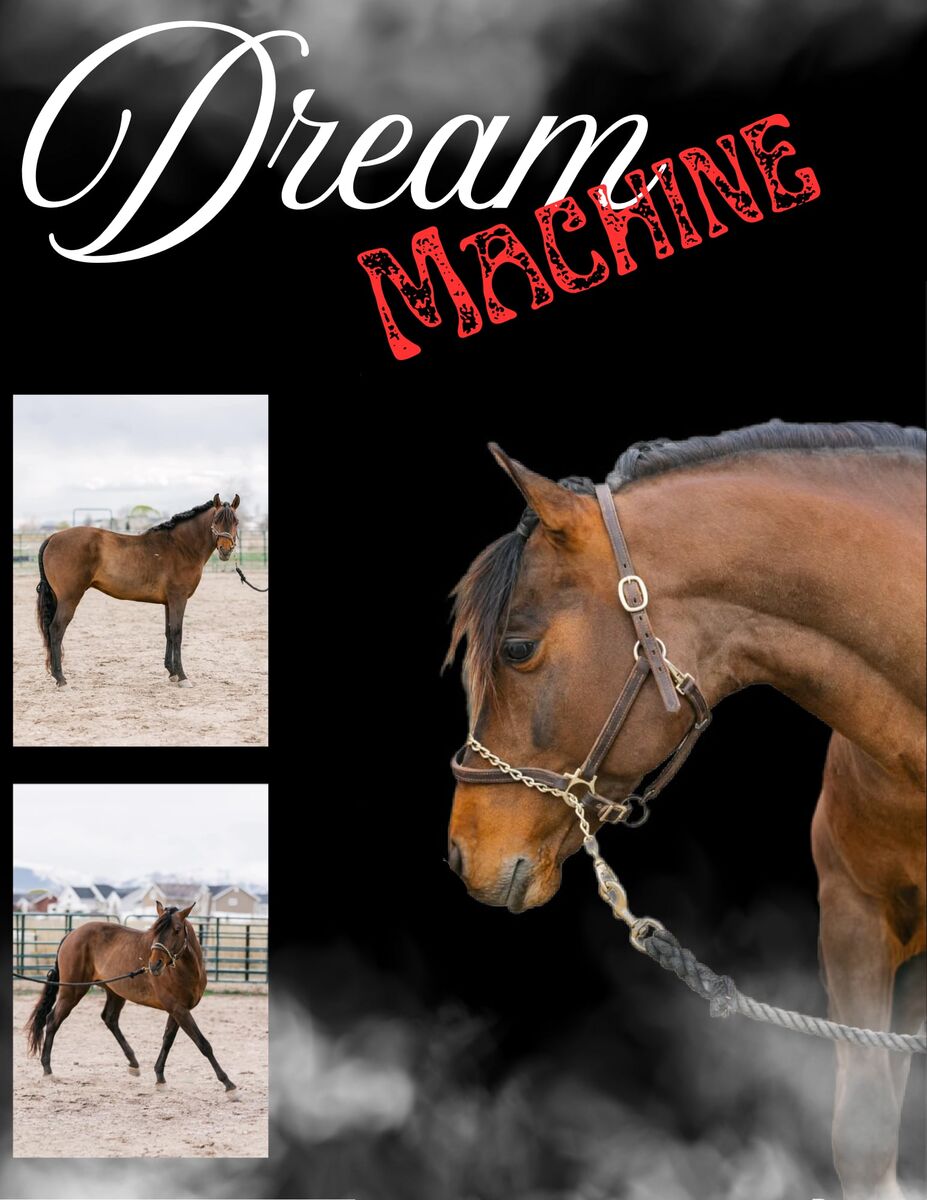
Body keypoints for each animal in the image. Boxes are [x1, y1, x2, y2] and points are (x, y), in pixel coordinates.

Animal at [25, 901, 236, 1092]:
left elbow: (167, 1040)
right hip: (71, 992)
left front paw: (160, 1077)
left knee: (109, 1019)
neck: (187, 970)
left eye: (177, 930)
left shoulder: (178, 1010)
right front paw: (228, 1084)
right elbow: (203, 1044)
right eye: (155, 929)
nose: (155, 965)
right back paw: (47, 1070)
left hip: (115, 992)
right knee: (52, 1021)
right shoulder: (178, 1009)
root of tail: (71, 934)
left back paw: (133, 1063)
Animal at [35, 493, 240, 688]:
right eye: (216, 520)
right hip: (69, 598)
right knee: (56, 629)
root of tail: (53, 537)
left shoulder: (169, 602)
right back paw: (61, 679)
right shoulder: (179, 599)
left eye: (236, 521)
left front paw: (172, 673)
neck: (181, 546)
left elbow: (168, 632)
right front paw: (182, 677)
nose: (225, 550)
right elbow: (177, 633)